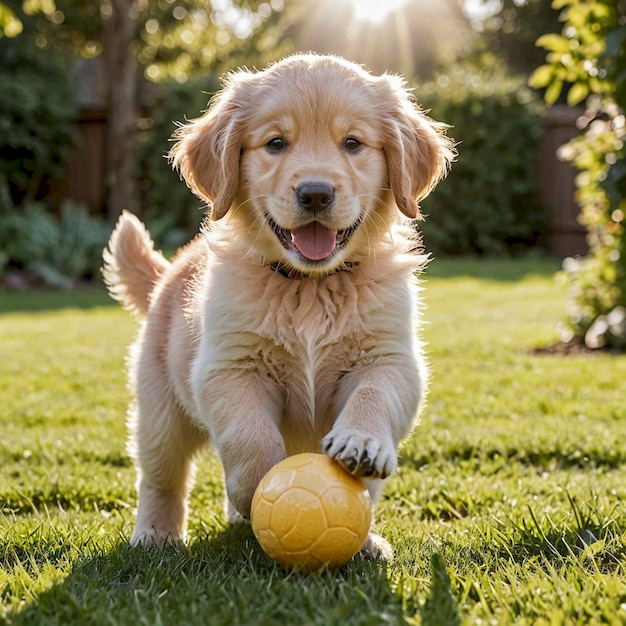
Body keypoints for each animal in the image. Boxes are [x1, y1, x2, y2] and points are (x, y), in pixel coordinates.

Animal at [103, 51, 454, 552]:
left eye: (352, 143)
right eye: (275, 143)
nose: (315, 193)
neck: (310, 285)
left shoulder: (389, 356)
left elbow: (374, 396)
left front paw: (362, 447)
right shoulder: (228, 366)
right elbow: (252, 440)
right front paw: (258, 491)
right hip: (159, 410)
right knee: (161, 477)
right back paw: (156, 535)